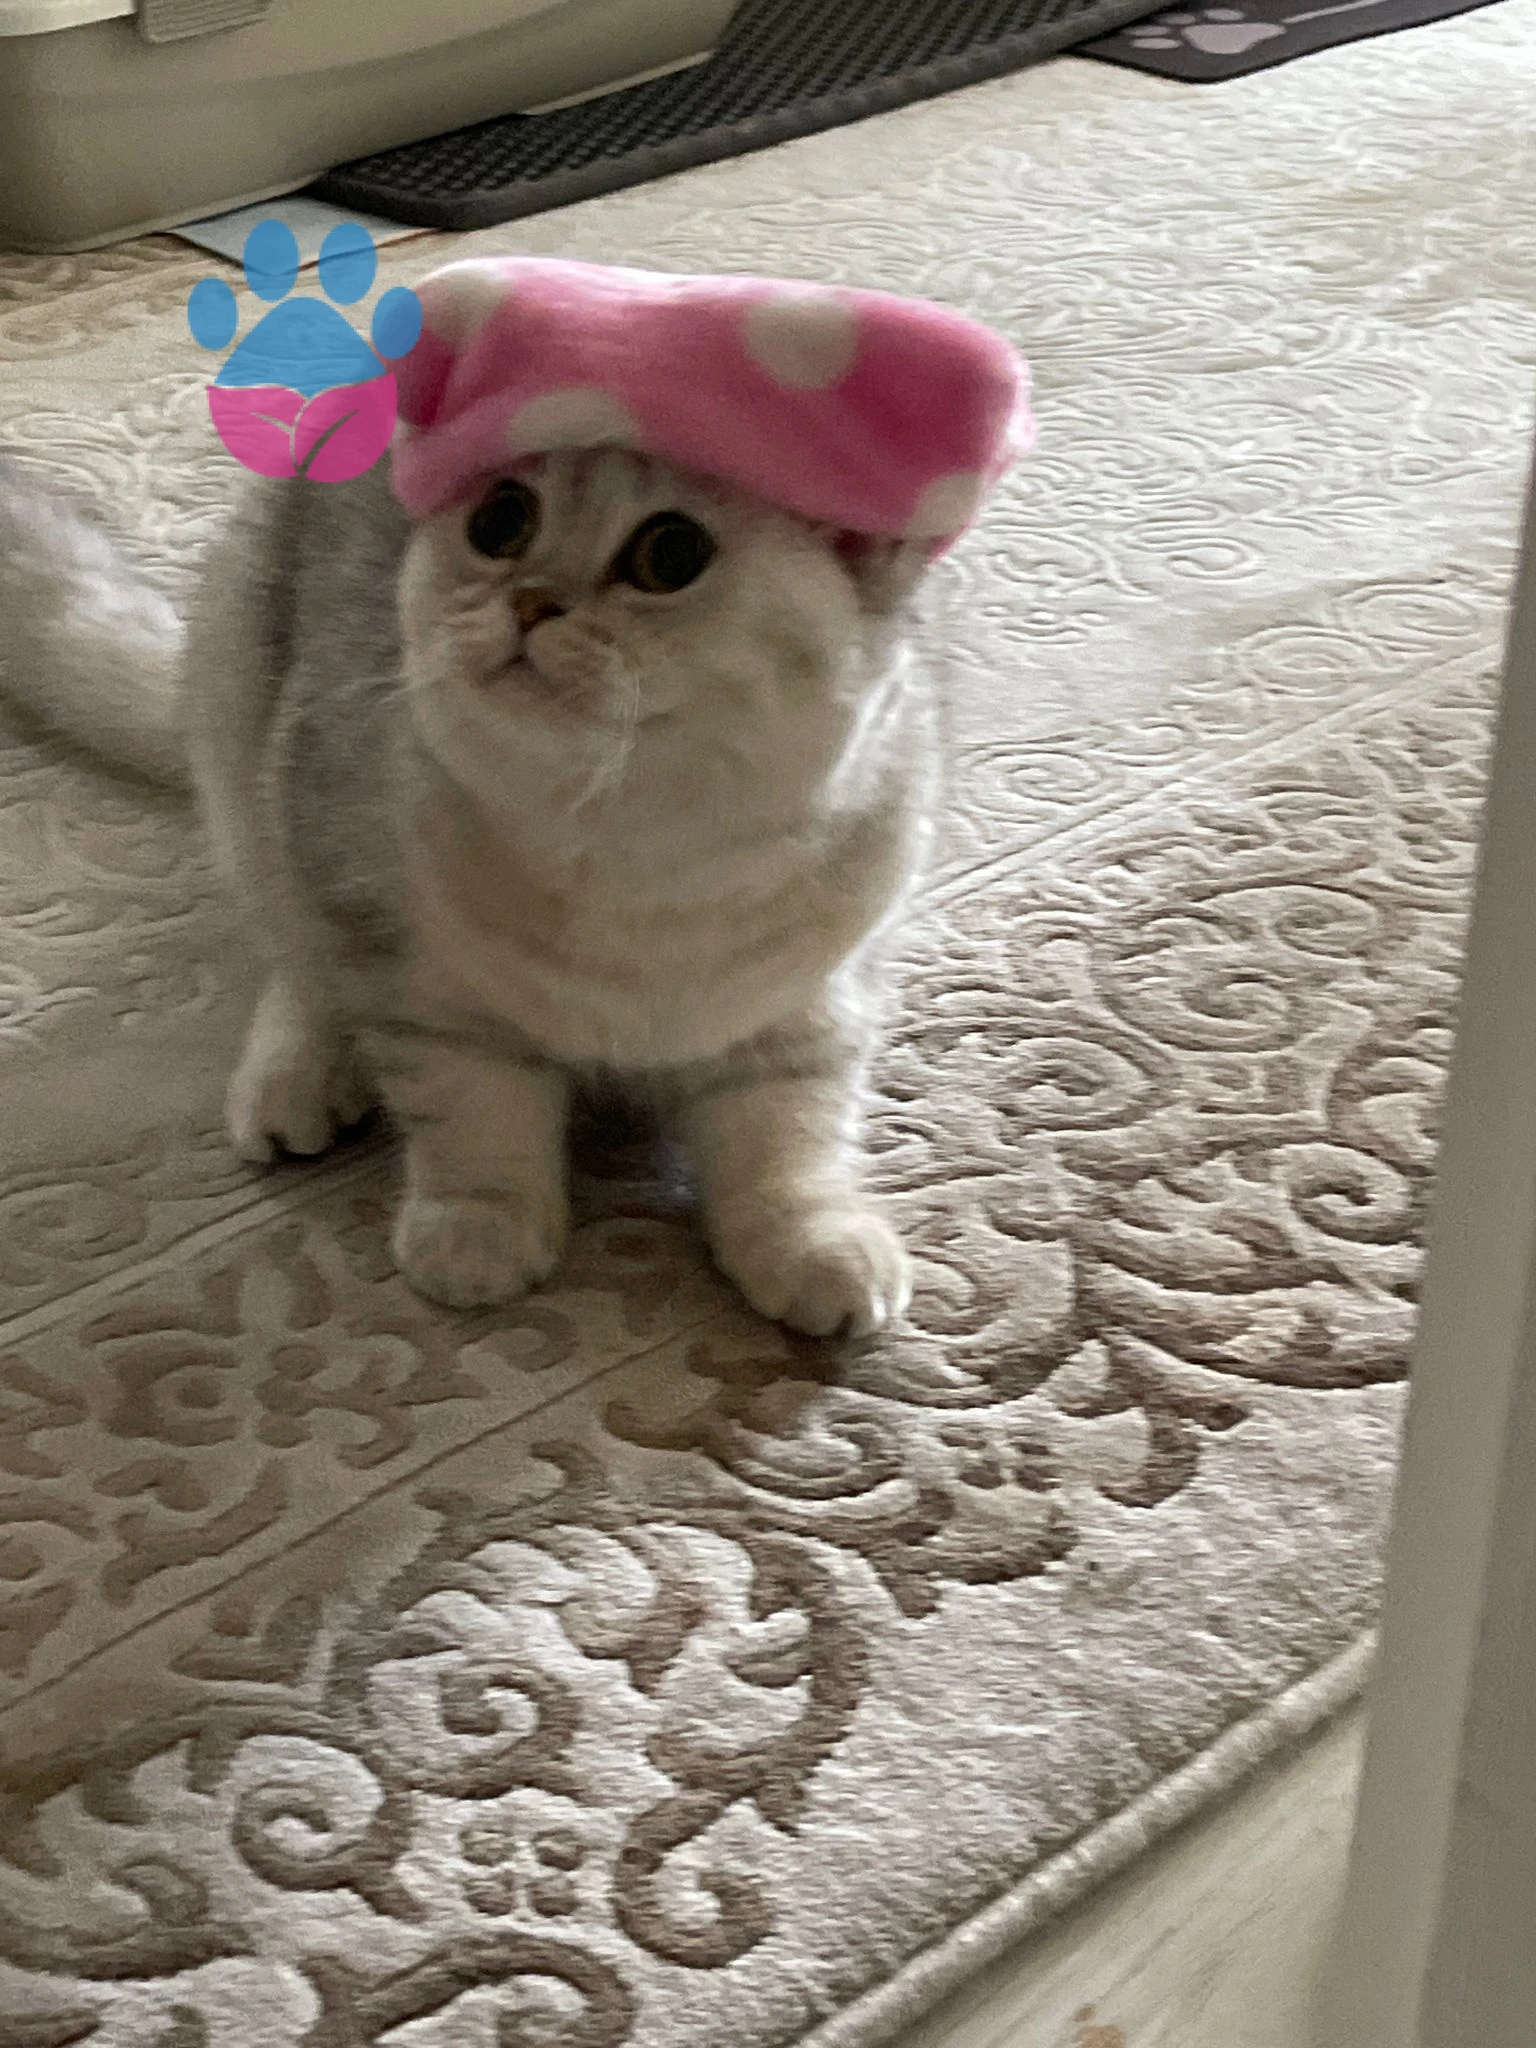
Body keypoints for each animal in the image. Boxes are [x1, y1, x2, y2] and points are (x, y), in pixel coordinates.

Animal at [0, 445, 938, 1337]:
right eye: (501, 521)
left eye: (672, 554)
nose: (530, 601)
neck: (631, 833)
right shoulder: (429, 993)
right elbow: (476, 1115)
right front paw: (477, 1229)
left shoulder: (807, 1003)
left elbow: (789, 1139)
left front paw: (813, 1241)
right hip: (256, 768)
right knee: (295, 958)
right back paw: (297, 1078)